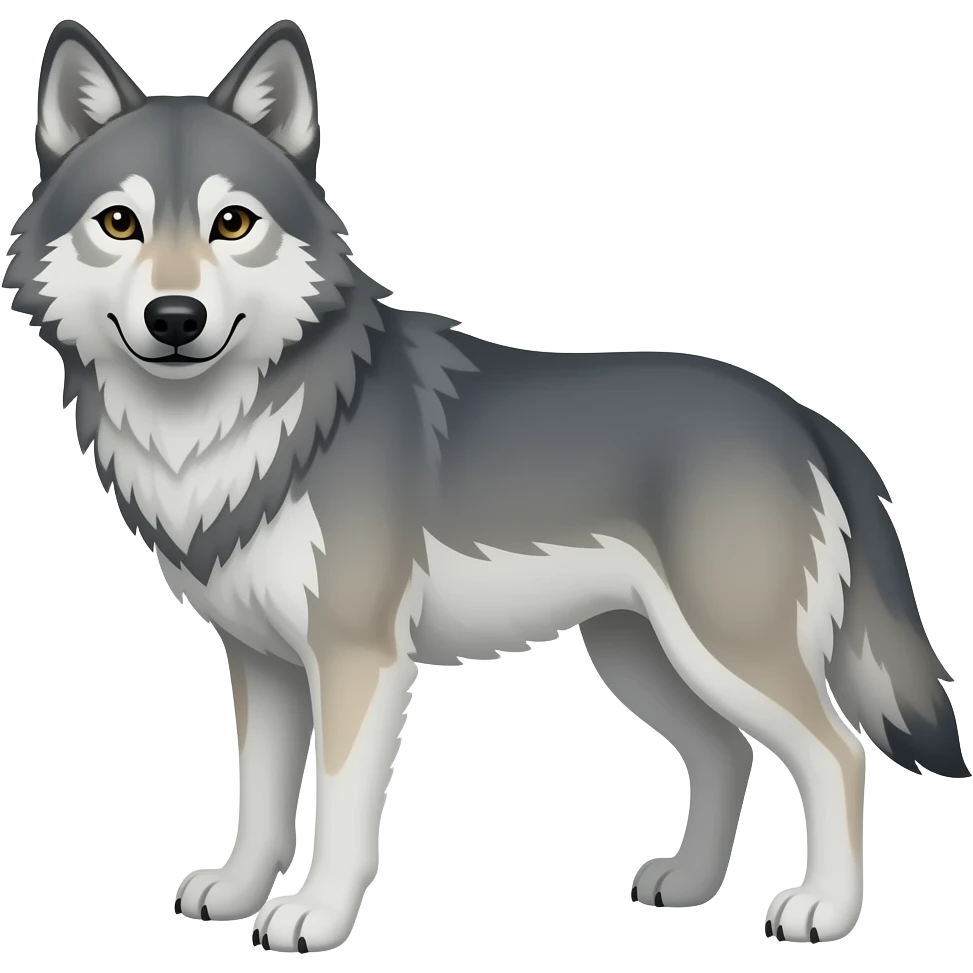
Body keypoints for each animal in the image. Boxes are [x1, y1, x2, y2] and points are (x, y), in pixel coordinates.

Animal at [4, 17, 967, 954]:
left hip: (723, 653)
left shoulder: (357, 660)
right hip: (639, 656)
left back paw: (823, 910)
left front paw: (316, 916)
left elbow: (341, 809)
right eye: (119, 223)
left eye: (233, 223)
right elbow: (260, 801)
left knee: (837, 754)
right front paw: (239, 894)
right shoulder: (262, 662)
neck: (227, 429)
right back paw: (688, 886)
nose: (176, 319)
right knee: (727, 754)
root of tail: (803, 417)